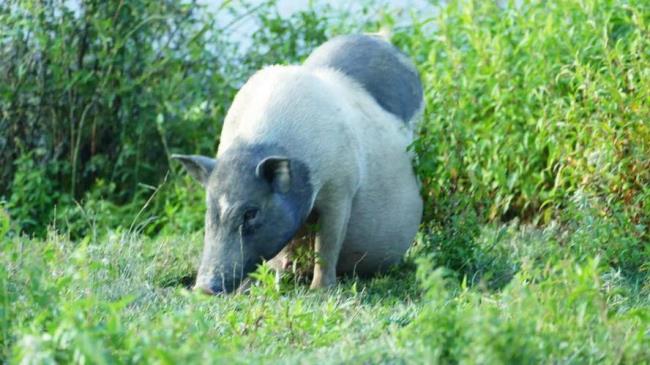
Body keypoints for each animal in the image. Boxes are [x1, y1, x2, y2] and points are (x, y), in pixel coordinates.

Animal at [172, 34, 422, 292]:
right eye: (209, 208)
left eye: (251, 213)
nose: (204, 288)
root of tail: (380, 37)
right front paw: (248, 290)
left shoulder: (341, 186)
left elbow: (327, 243)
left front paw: (320, 291)